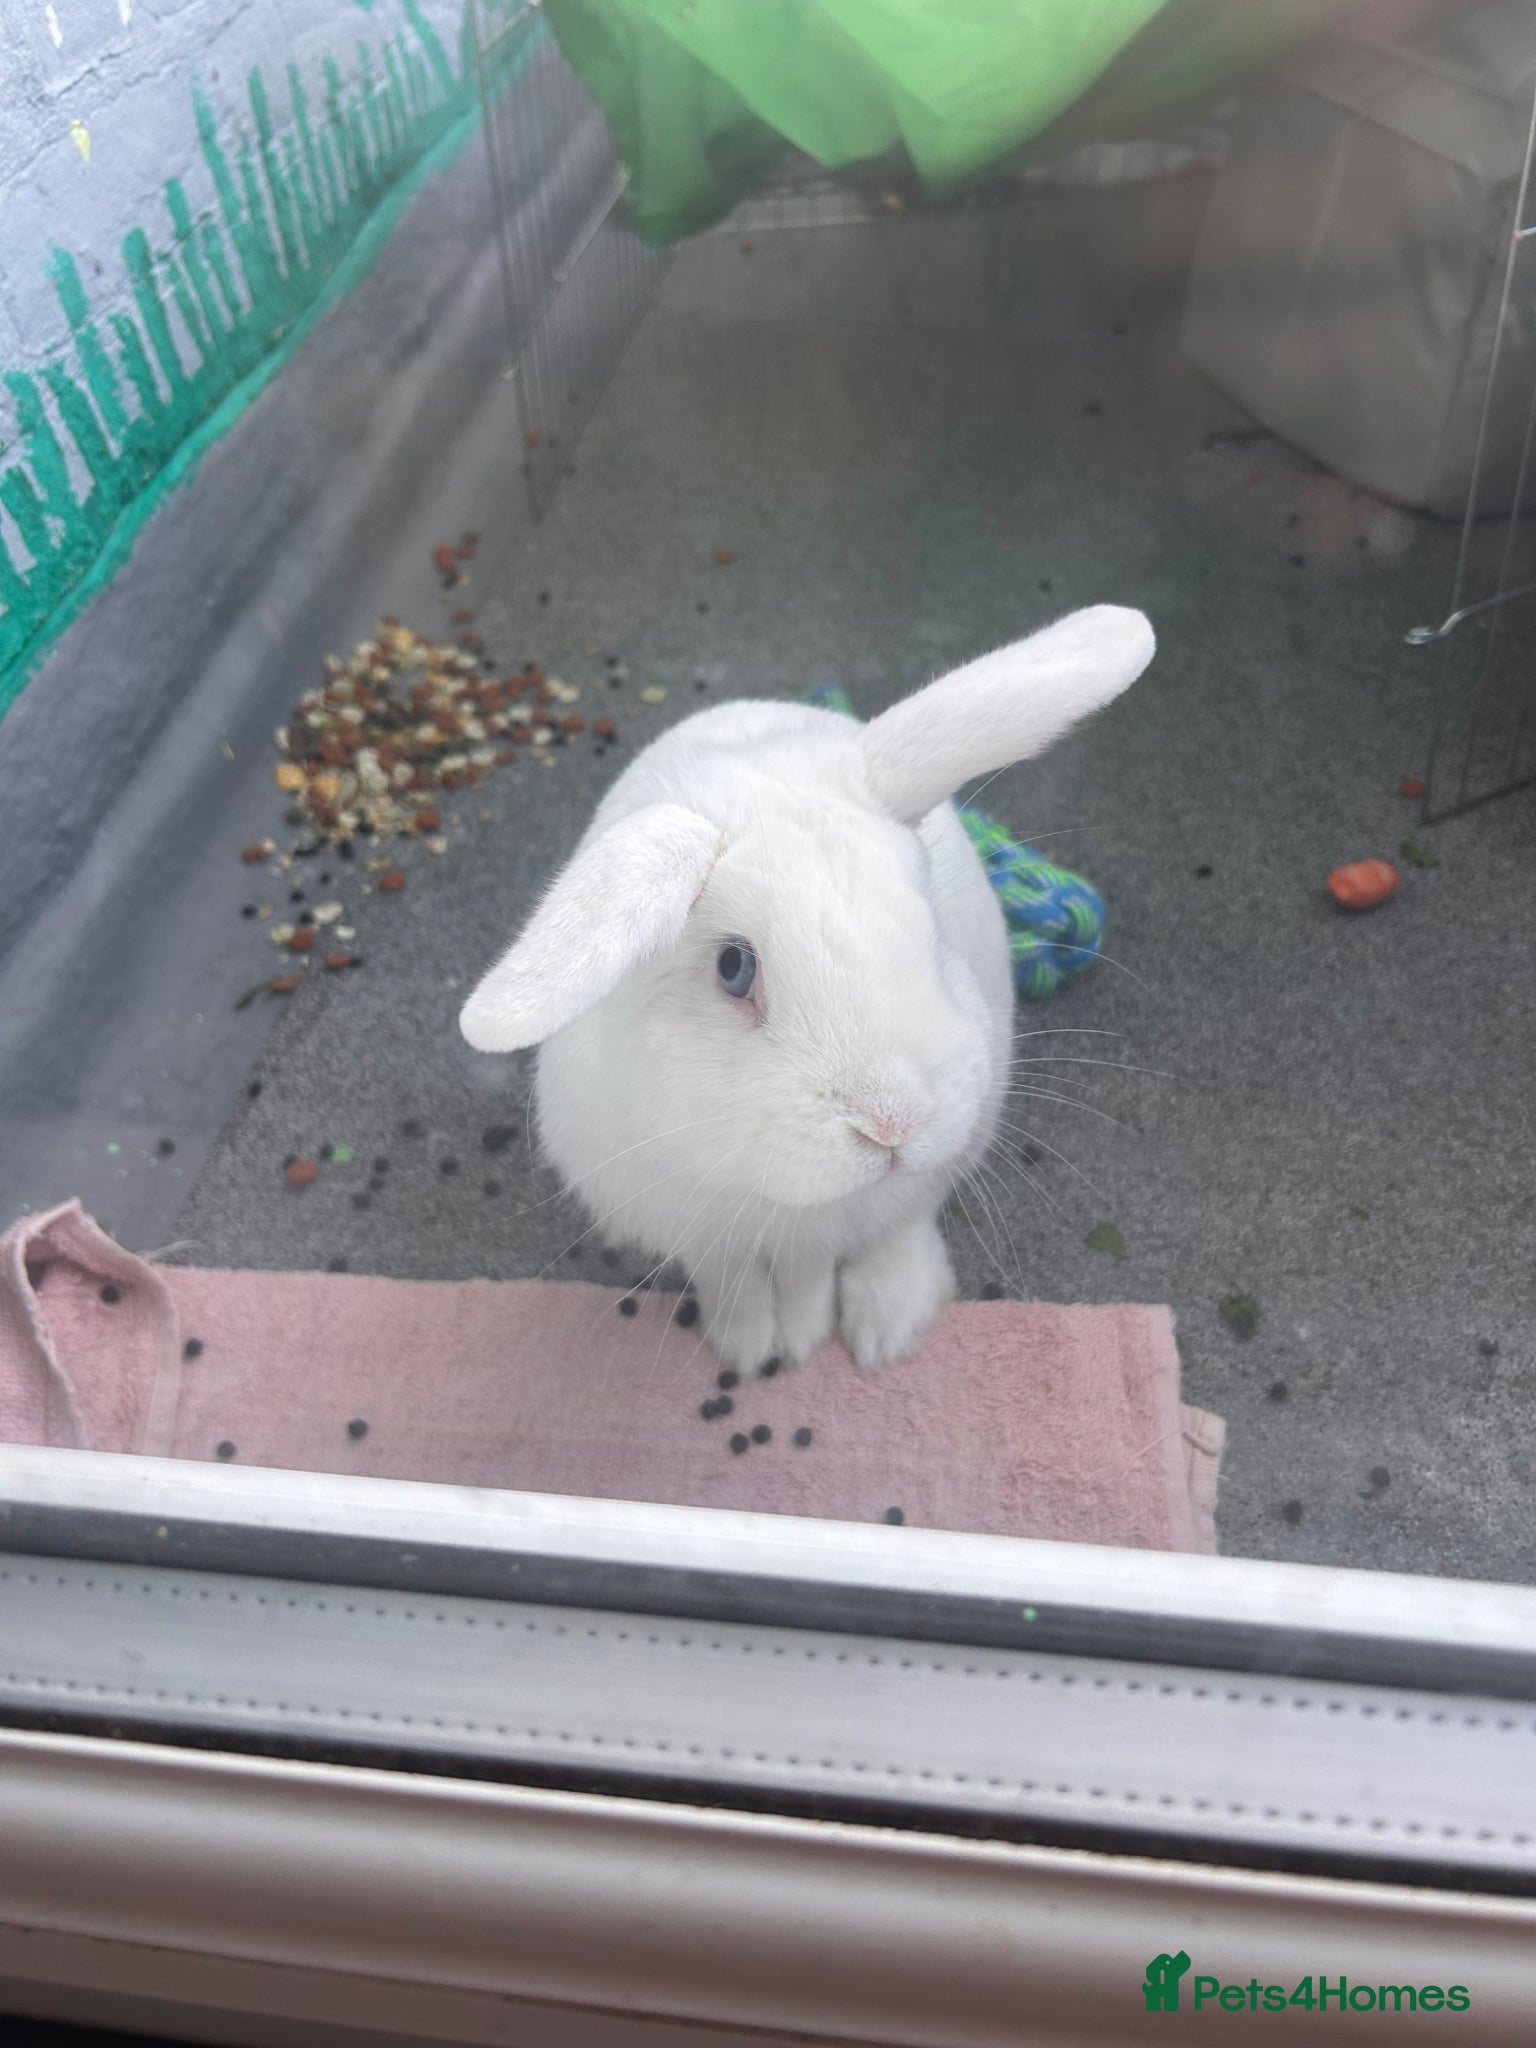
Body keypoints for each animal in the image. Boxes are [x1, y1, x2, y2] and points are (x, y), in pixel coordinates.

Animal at [460, 605, 1154, 1375]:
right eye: (734, 968)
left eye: (930, 923)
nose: (893, 1126)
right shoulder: (701, 1229)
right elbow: (737, 1275)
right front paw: (751, 1343)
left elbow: (819, 1267)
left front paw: (806, 1336)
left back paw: (890, 1327)